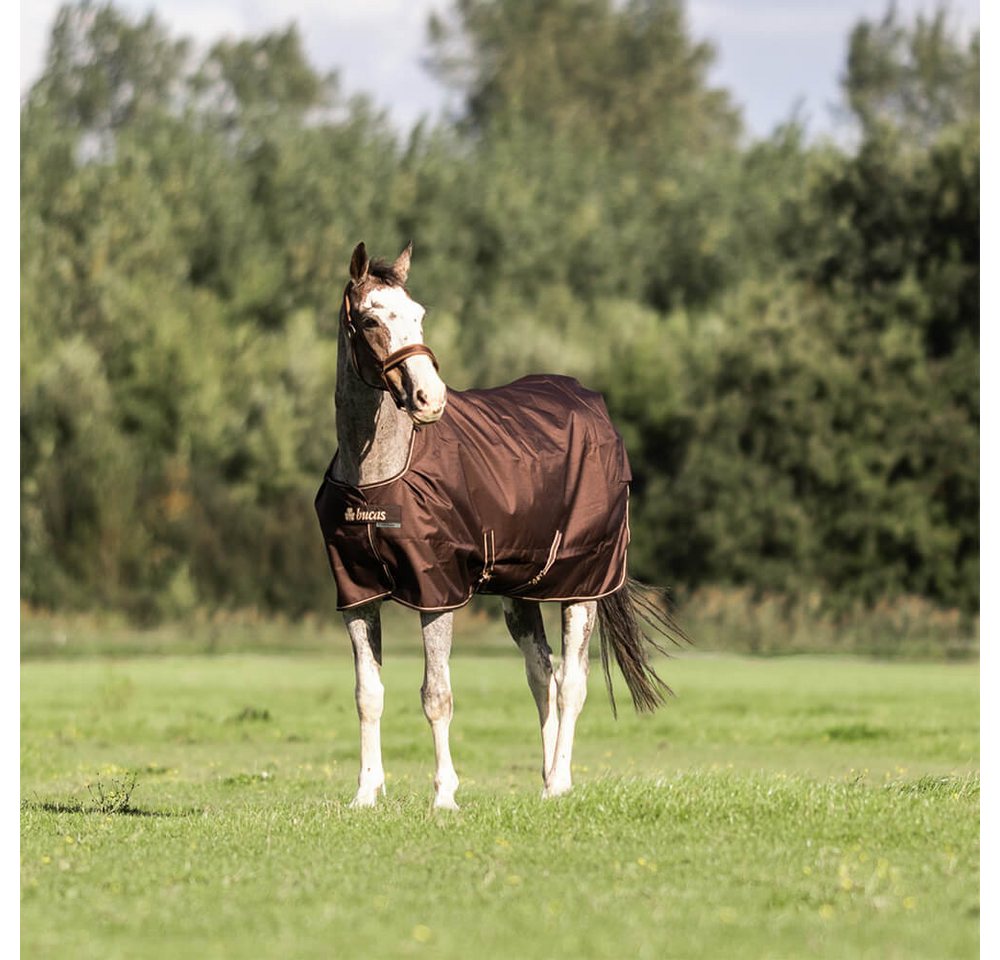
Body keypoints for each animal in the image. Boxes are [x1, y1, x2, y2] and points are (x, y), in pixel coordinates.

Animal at [315, 241, 679, 809]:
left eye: (418, 315)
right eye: (371, 320)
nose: (431, 399)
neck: (376, 475)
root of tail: (595, 409)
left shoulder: (436, 591)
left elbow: (436, 694)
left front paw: (444, 797)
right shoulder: (357, 593)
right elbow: (367, 694)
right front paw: (365, 794)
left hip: (583, 585)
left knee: (573, 682)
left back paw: (560, 784)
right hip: (521, 589)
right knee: (542, 674)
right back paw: (547, 778)